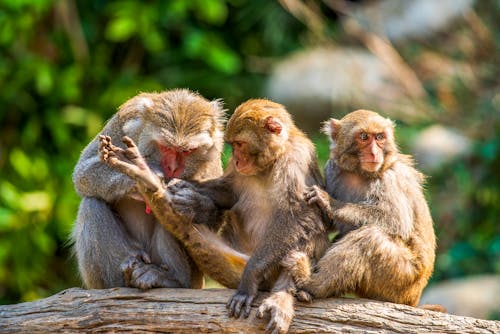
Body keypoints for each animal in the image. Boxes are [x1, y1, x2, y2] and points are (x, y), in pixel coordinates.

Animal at [71, 88, 225, 290]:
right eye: (165, 147)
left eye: (186, 151)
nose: (172, 168)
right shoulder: (122, 123)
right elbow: (83, 174)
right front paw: (144, 174)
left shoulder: (213, 157)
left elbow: (214, 230)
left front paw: (193, 204)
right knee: (91, 204)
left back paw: (171, 279)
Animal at [99, 100, 330, 334]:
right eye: (233, 145)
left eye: (240, 144)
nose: (236, 160)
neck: (271, 162)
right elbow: (228, 192)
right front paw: (193, 202)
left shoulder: (296, 160)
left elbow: (302, 214)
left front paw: (250, 278)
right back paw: (147, 179)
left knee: (307, 230)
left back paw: (280, 297)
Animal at [284, 109, 444, 310]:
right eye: (363, 137)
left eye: (380, 137)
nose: (374, 153)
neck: (359, 173)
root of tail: (414, 299)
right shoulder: (332, 168)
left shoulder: (389, 178)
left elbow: (396, 220)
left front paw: (329, 202)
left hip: (403, 278)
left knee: (370, 238)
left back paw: (310, 284)